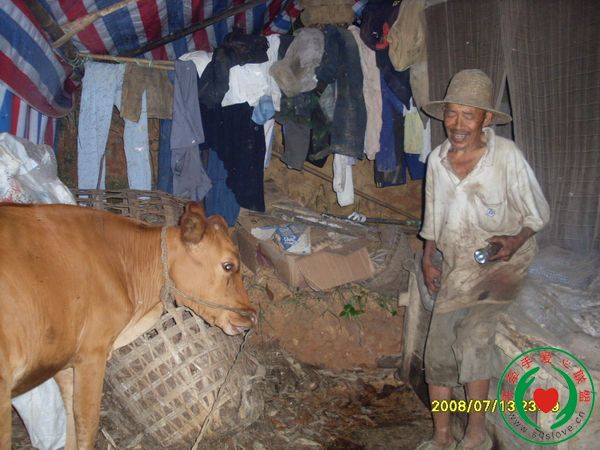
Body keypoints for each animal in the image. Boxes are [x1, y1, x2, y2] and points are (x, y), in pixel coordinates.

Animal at [0, 201, 257, 449]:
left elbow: (72, 426)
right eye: (228, 265)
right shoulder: (92, 354)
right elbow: (87, 427)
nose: (251, 318)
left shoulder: (63, 363)